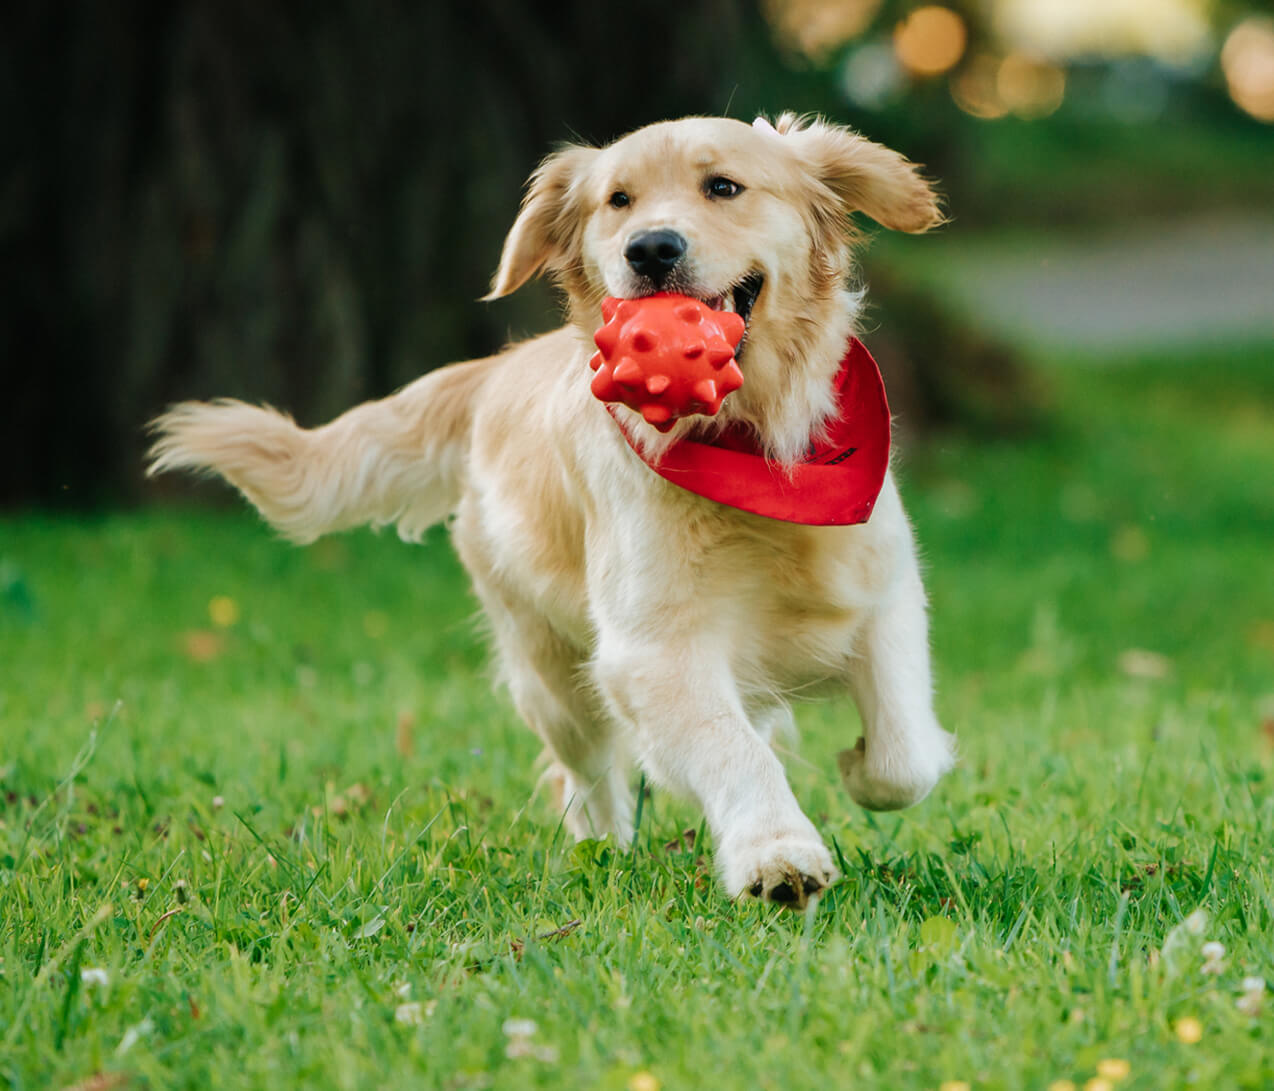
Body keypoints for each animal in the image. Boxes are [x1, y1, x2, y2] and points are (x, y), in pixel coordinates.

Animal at [149, 115, 958, 907]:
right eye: (618, 201)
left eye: (724, 186)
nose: (651, 249)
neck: (752, 441)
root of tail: (496, 369)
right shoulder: (652, 648)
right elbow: (732, 749)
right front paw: (777, 854)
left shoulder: (885, 595)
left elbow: (903, 756)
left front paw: (858, 766)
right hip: (548, 670)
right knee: (589, 777)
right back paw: (608, 848)